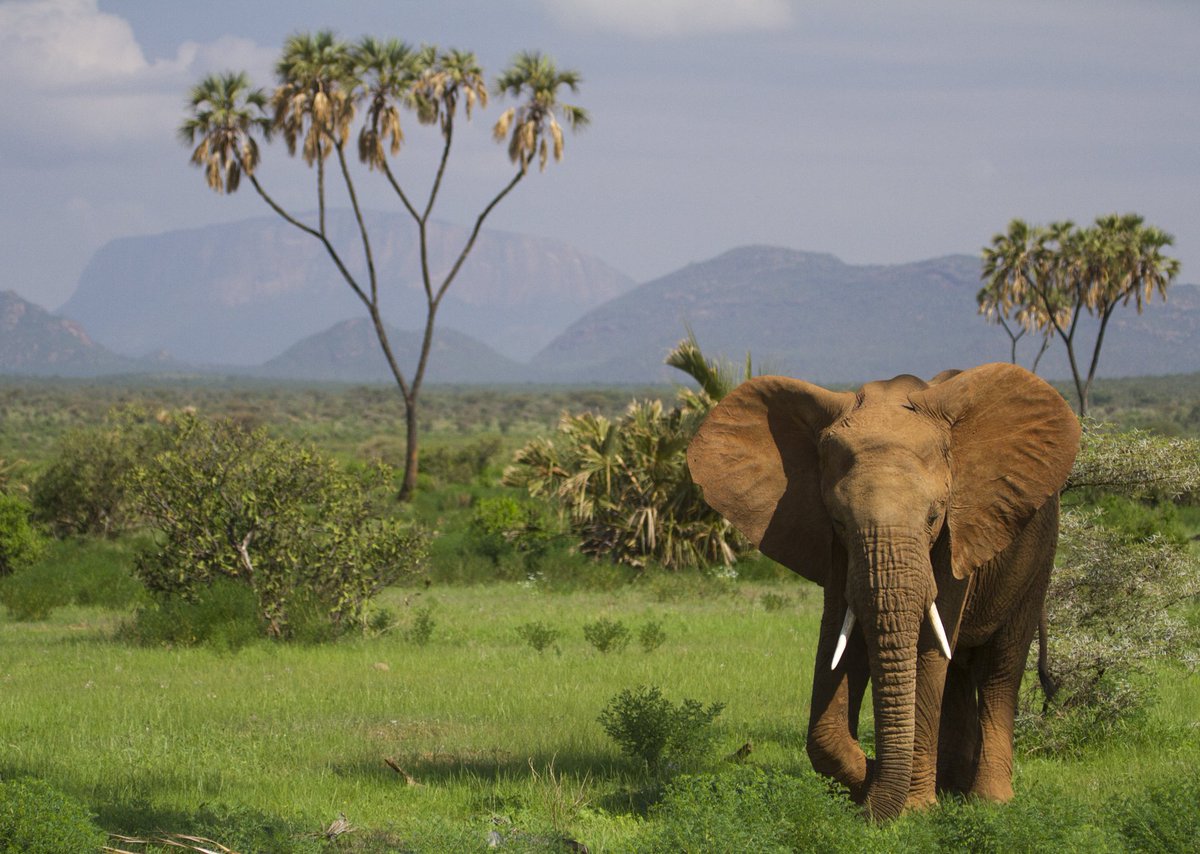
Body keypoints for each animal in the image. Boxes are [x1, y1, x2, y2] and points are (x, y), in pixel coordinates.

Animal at [686, 362, 1080, 821]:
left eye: (934, 517)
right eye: (839, 521)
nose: (871, 799)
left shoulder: (956, 536)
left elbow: (927, 649)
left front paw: (912, 810)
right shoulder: (834, 549)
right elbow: (839, 641)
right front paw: (874, 785)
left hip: (1037, 550)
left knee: (1001, 669)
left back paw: (989, 800)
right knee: (959, 673)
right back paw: (952, 787)